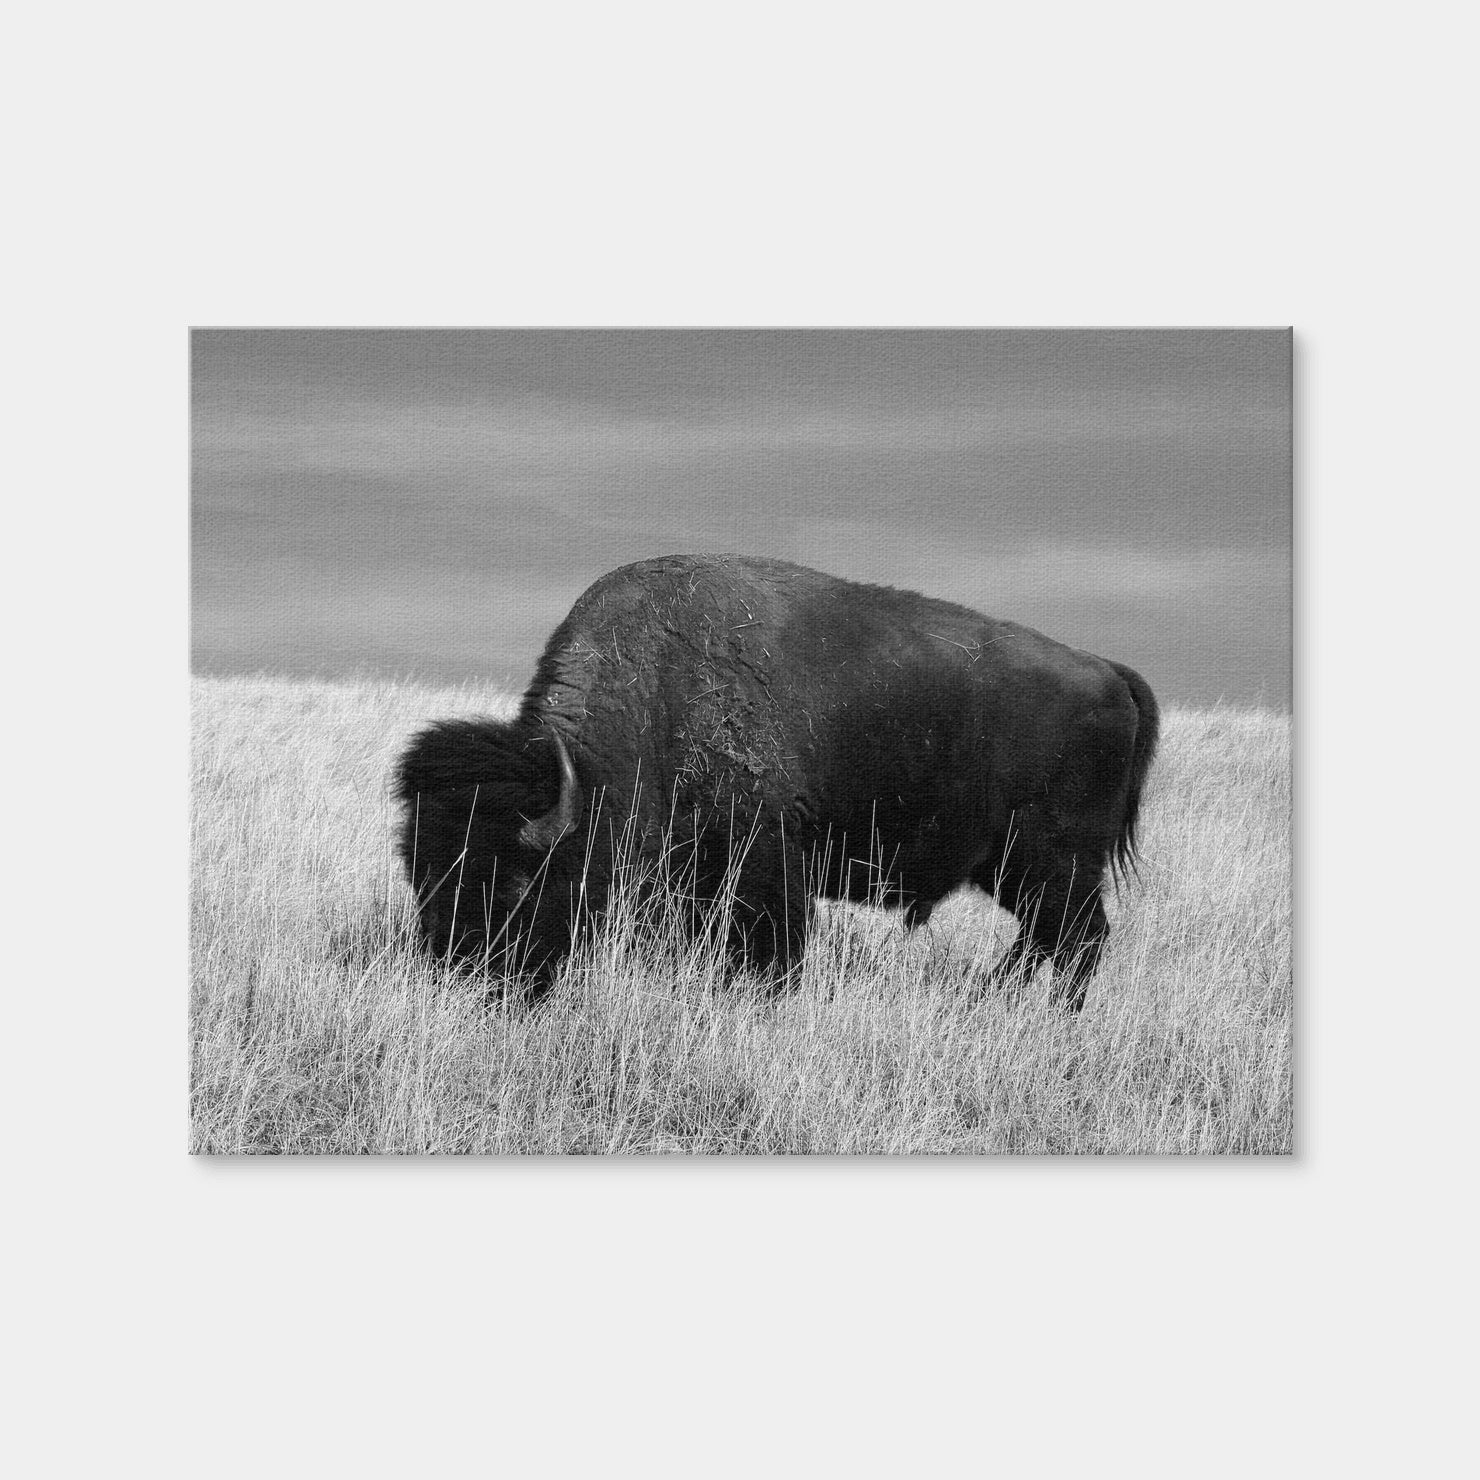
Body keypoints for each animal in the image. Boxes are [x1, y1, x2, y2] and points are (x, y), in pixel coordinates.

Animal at [395, 554, 1158, 1010]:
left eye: (515, 880)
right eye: (421, 873)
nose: (459, 975)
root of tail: (1107, 671)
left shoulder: (766, 858)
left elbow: (772, 947)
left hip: (1053, 863)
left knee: (1078, 938)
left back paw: (1046, 1012)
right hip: (1015, 869)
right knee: (1046, 938)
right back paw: (993, 999)